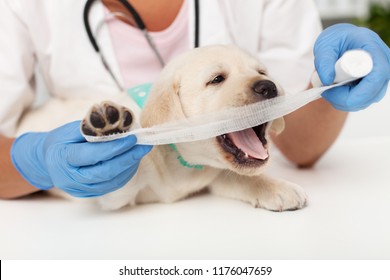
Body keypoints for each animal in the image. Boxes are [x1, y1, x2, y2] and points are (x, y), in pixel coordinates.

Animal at [81, 44, 308, 210]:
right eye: (217, 79)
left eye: (262, 72)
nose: (269, 86)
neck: (183, 160)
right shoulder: (114, 196)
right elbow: (116, 179)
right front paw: (111, 130)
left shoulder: (216, 175)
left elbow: (243, 178)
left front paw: (278, 187)